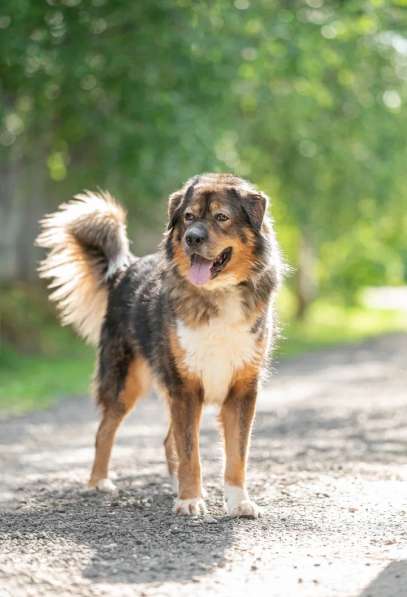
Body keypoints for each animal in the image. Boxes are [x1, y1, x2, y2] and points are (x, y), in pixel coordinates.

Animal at [37, 172, 284, 516]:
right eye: (188, 217)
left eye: (222, 217)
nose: (192, 238)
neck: (216, 294)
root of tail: (125, 269)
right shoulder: (186, 387)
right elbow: (191, 452)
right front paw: (191, 500)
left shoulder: (242, 389)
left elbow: (236, 455)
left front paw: (238, 502)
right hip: (125, 382)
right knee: (104, 431)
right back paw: (99, 481)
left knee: (168, 441)